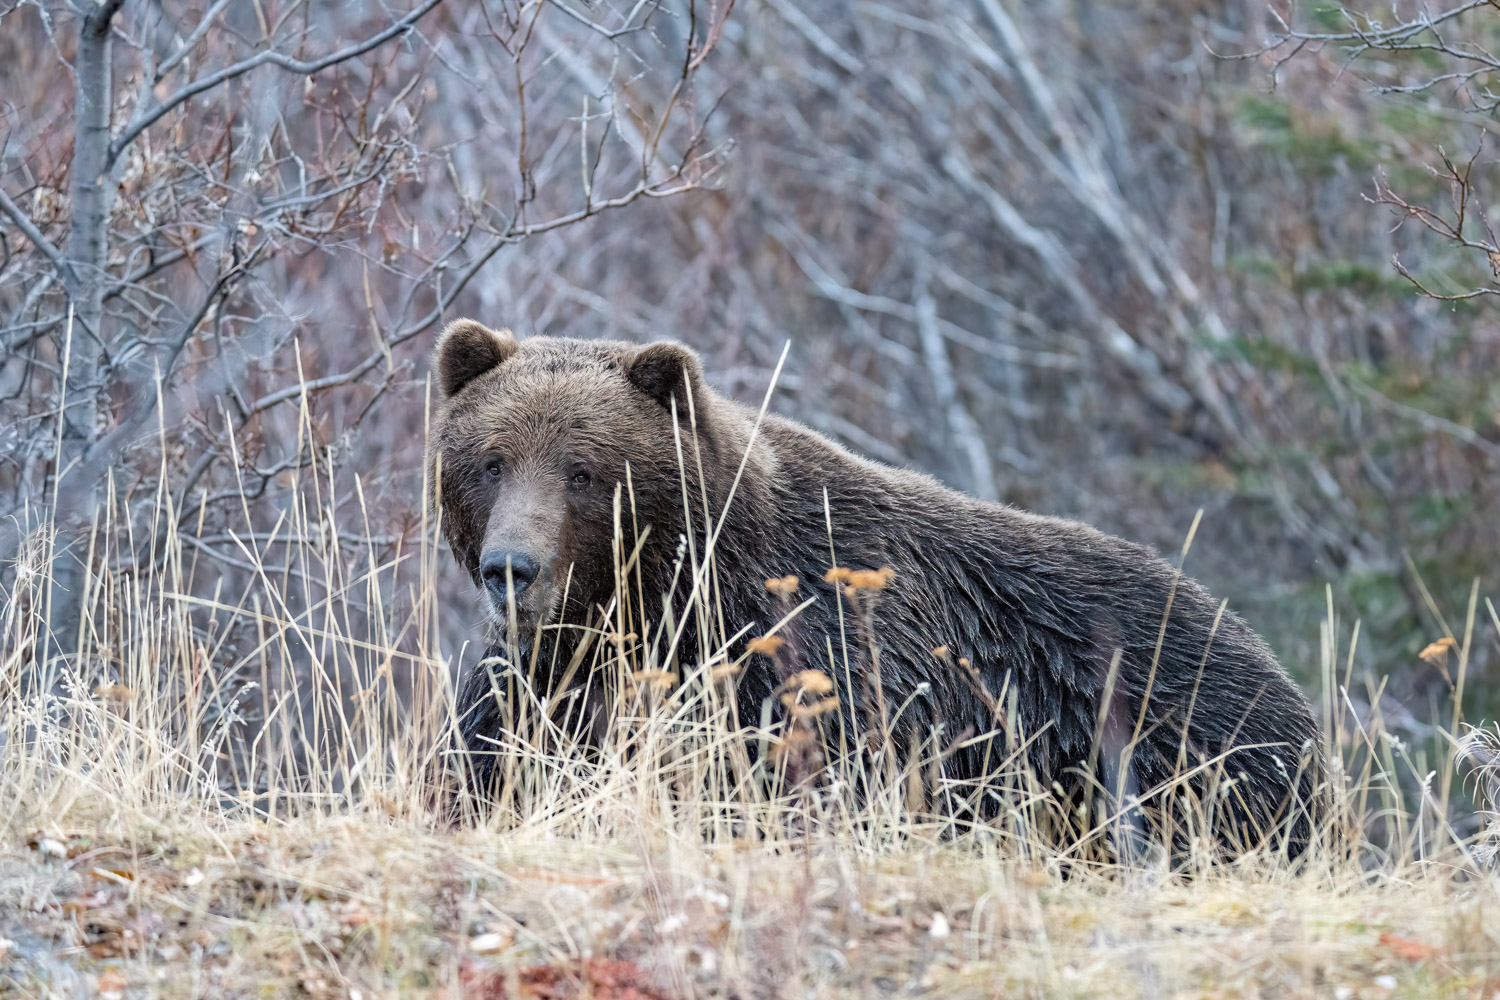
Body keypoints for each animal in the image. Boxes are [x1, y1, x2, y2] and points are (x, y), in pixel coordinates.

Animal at [432, 322, 1326, 863]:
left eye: (582, 471)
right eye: (491, 460)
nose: (512, 568)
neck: (667, 600)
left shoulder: (812, 656)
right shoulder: (549, 677)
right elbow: (489, 768)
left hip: (1181, 748)